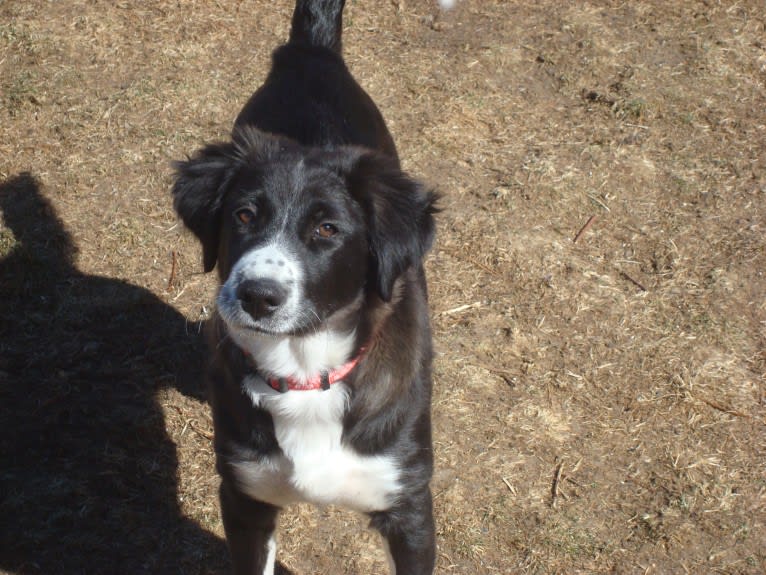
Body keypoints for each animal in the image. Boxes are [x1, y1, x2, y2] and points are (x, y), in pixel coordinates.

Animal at [173, 1, 438, 575]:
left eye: (327, 230)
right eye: (243, 215)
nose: (257, 295)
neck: (303, 372)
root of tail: (311, 51)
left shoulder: (408, 505)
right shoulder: (244, 496)